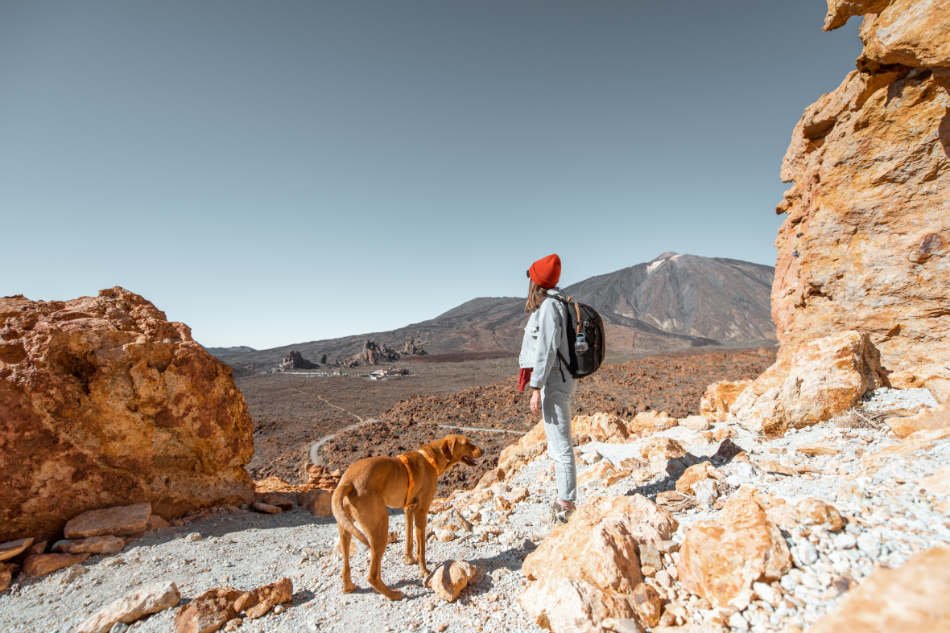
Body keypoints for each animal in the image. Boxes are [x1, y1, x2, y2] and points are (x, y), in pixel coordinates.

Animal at [332, 432, 484, 600]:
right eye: (467, 443)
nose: (483, 451)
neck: (431, 458)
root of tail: (347, 481)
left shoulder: (408, 509)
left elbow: (409, 539)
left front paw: (409, 559)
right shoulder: (422, 511)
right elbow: (421, 548)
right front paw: (424, 571)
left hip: (345, 529)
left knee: (346, 565)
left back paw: (349, 586)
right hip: (380, 527)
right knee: (372, 575)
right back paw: (393, 594)